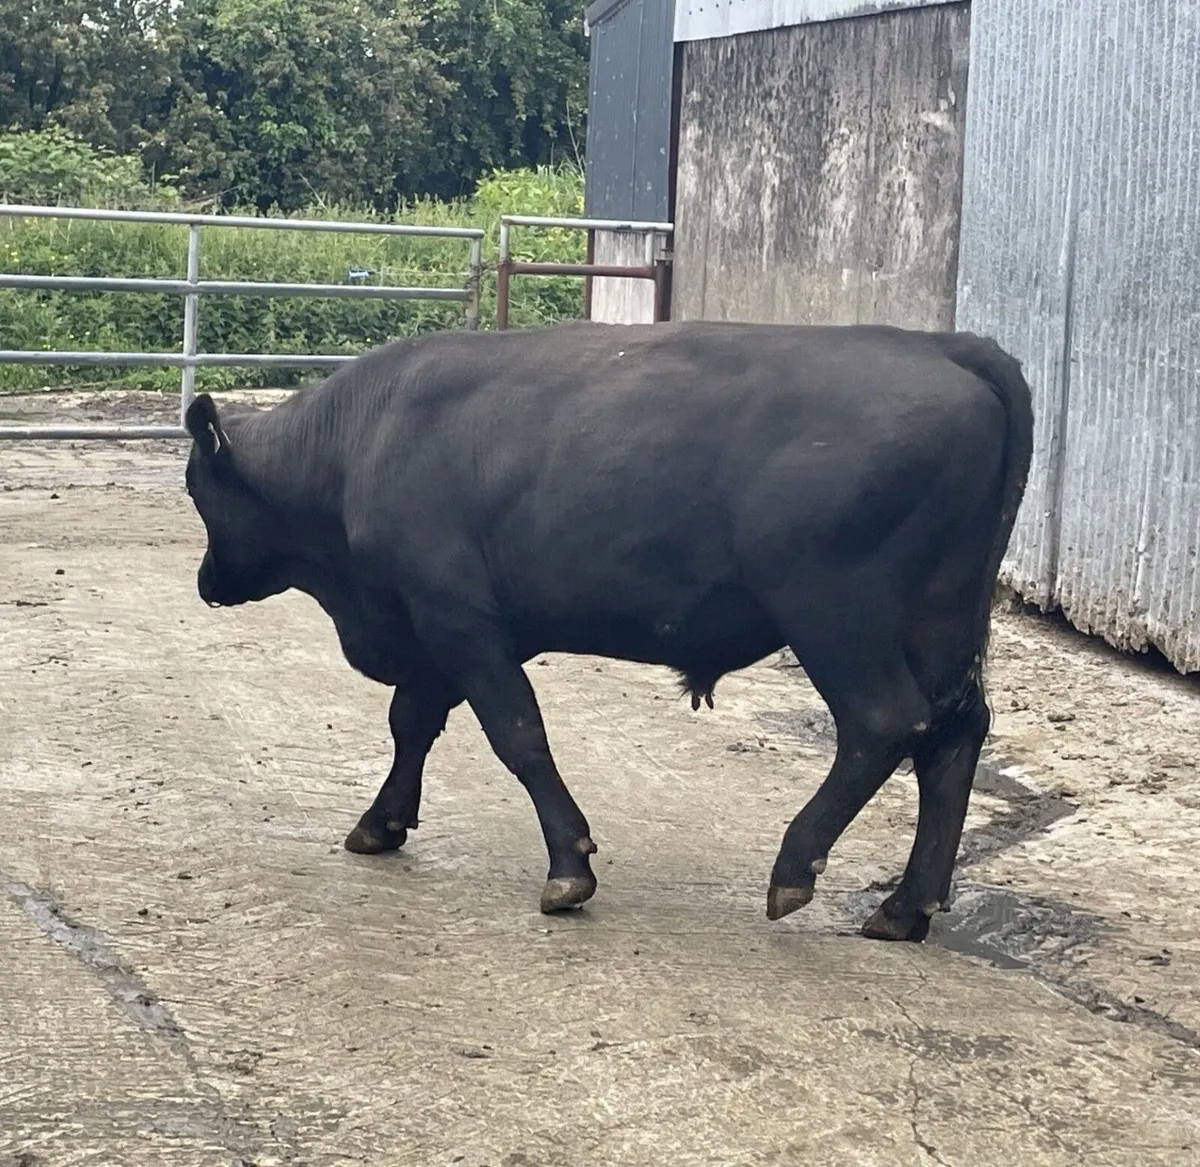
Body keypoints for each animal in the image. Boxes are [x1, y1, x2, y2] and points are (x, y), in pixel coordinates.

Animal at [183, 319, 1033, 942]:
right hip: (940, 620)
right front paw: (381, 821)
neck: (361, 440)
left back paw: (795, 868)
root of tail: (945, 345)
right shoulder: (429, 630)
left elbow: (517, 733)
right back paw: (906, 905)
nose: (205, 582)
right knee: (955, 734)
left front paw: (568, 866)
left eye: (195, 487)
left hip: (834, 610)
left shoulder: (461, 622)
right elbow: (412, 723)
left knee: (886, 722)